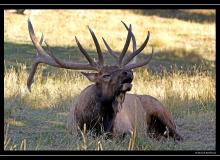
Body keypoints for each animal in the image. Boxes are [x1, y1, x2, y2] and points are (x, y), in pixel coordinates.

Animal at [27, 18, 182, 141]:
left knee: (178, 134)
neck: (95, 125)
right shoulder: (73, 131)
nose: (128, 72)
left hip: (163, 112)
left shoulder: (127, 129)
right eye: (105, 75)